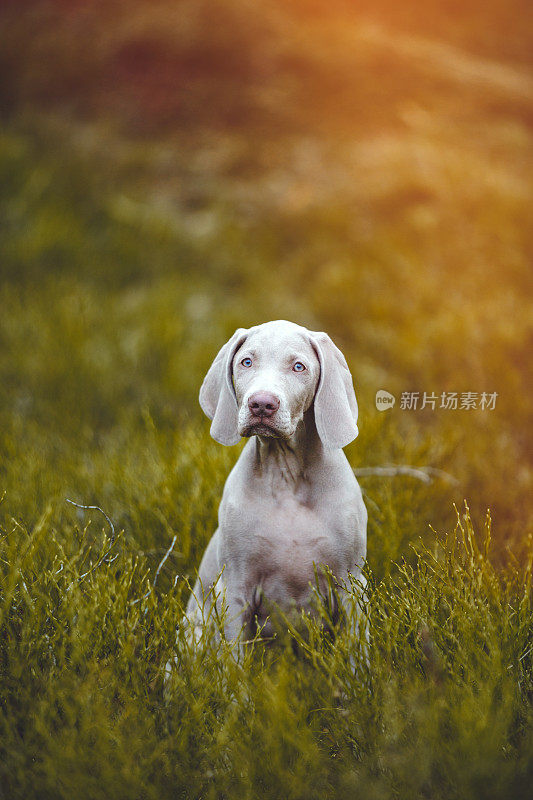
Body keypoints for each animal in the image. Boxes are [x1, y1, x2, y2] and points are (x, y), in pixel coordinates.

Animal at [185, 318, 368, 644]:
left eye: (298, 367)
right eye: (246, 362)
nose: (261, 404)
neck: (287, 476)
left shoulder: (351, 585)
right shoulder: (235, 589)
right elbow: (233, 653)